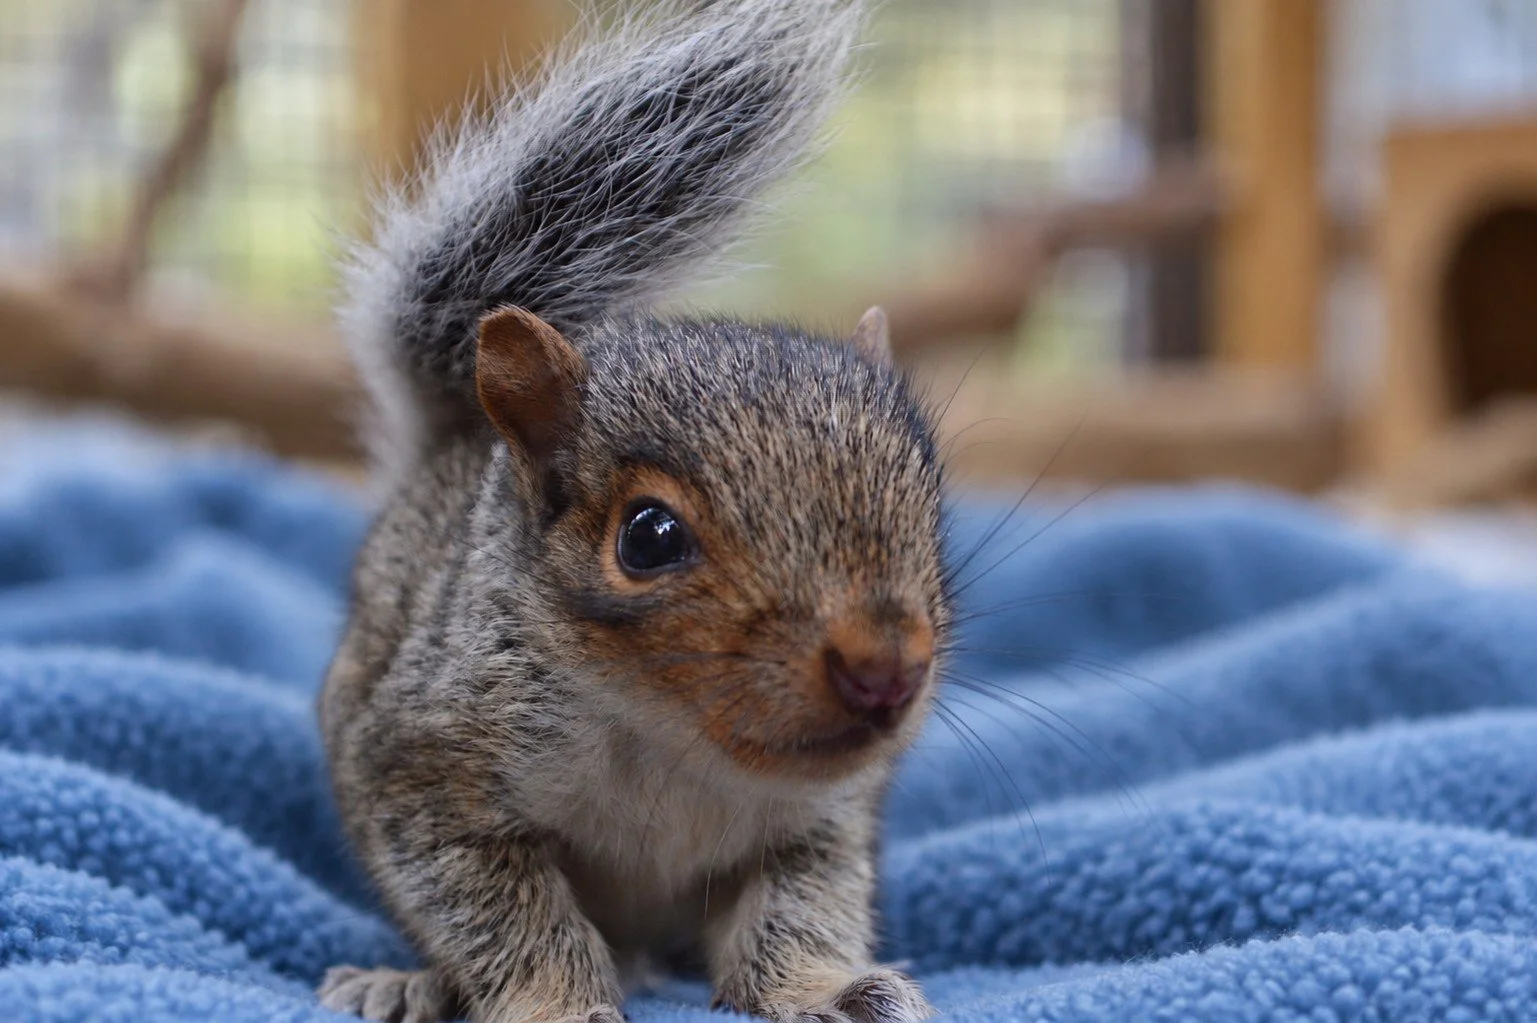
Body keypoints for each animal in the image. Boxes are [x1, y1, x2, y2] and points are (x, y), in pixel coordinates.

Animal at [317, 2, 952, 1023]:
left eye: (930, 506)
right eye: (649, 537)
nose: (885, 670)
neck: (672, 741)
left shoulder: (818, 820)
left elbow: (796, 909)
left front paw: (830, 990)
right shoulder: (424, 775)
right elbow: (507, 915)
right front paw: (555, 1002)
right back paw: (404, 981)